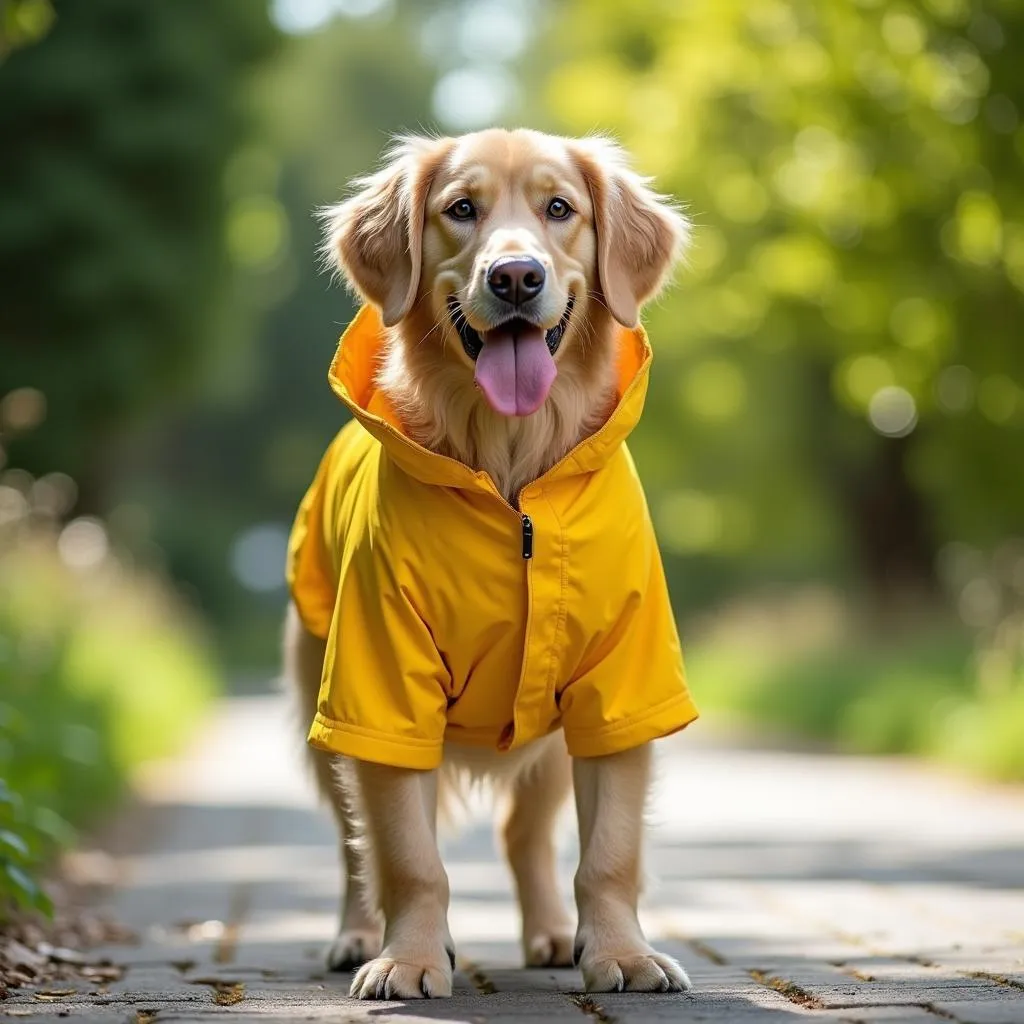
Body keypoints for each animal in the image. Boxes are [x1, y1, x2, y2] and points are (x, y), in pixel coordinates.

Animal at [284, 128, 700, 999]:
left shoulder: (621, 684)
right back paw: (355, 934)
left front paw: (621, 954)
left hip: (545, 740)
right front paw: (409, 958)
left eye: (560, 208)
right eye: (461, 209)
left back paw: (553, 935)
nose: (515, 276)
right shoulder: (381, 689)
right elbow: (408, 856)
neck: (512, 476)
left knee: (524, 836)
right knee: (351, 844)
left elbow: (610, 853)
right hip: (322, 706)